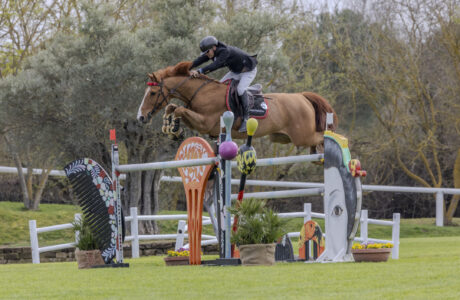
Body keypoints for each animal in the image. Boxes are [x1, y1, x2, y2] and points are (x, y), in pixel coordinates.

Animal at [137, 61, 338, 154]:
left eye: (152, 93)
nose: (141, 117)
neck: (202, 92)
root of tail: (302, 97)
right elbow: (172, 106)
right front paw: (169, 128)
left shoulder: (205, 123)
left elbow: (179, 109)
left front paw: (175, 130)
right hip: (282, 137)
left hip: (302, 136)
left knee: (323, 136)